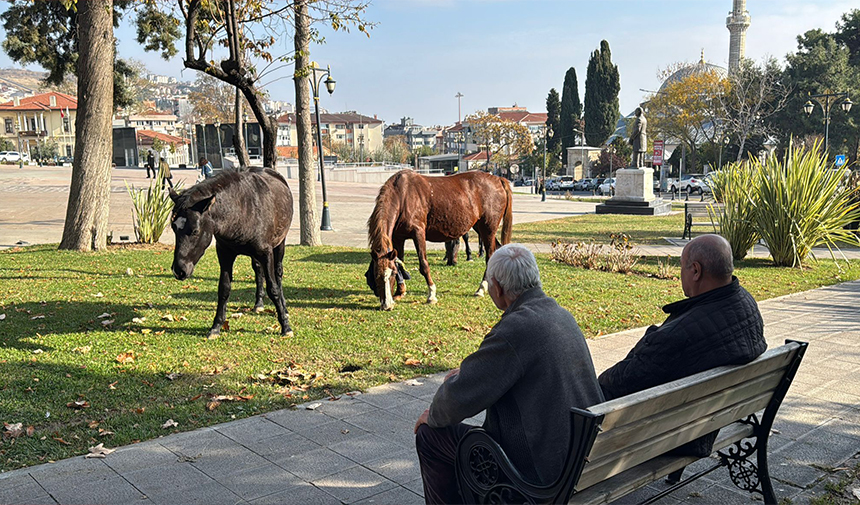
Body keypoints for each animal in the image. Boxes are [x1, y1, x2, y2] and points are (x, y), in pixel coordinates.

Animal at [368, 171, 510, 310]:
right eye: (376, 275)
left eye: (392, 274)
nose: (386, 305)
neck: (403, 195)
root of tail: (497, 179)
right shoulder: (399, 237)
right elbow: (400, 263)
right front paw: (400, 291)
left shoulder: (418, 233)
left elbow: (424, 265)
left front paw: (431, 294)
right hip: (480, 227)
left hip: (488, 229)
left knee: (490, 256)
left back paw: (481, 288)